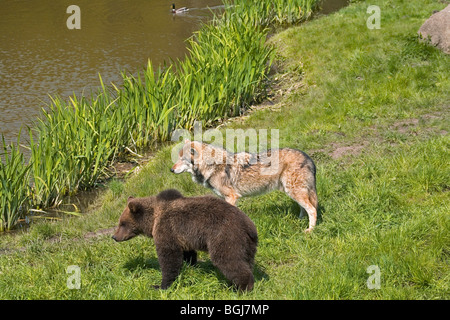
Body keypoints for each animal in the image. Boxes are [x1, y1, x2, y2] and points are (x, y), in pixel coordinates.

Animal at [171, 140, 318, 232]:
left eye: (182, 159)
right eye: (177, 158)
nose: (171, 170)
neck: (211, 165)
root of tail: (308, 157)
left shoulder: (231, 197)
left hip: (294, 192)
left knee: (312, 210)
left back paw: (310, 230)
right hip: (293, 192)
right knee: (304, 208)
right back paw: (299, 221)